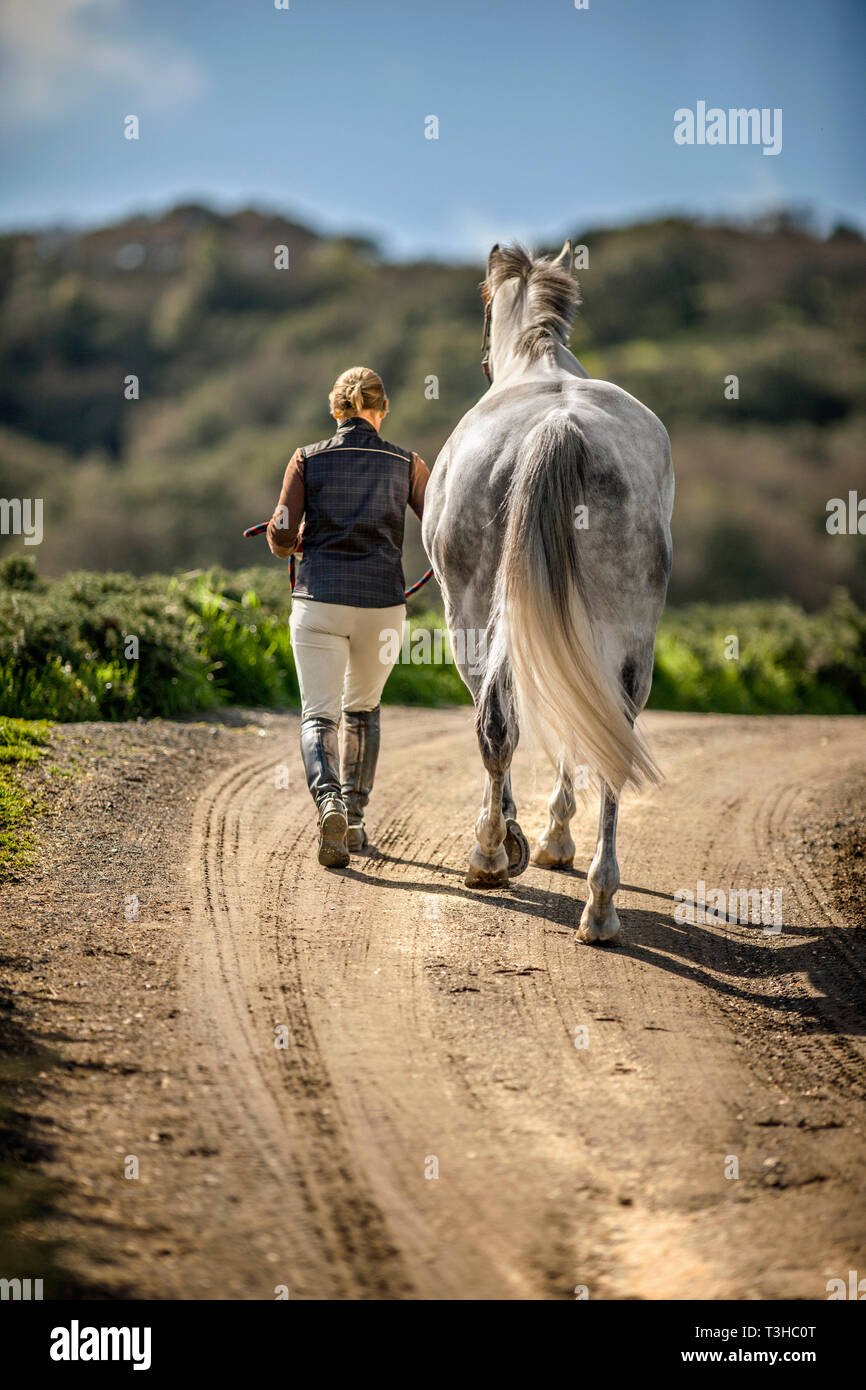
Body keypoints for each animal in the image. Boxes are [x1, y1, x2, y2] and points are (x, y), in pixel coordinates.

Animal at [421, 241, 674, 943]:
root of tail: (561, 425)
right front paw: (548, 838)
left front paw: (515, 838)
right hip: (627, 630)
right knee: (612, 733)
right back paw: (601, 904)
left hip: (474, 614)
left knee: (496, 724)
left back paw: (489, 855)